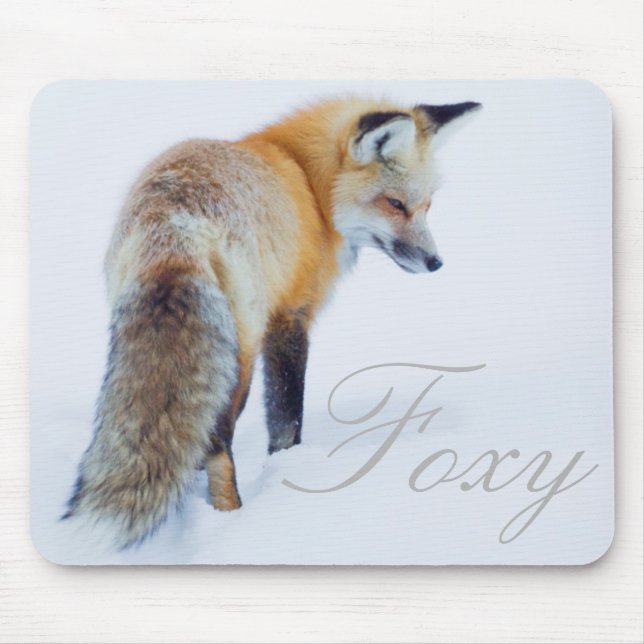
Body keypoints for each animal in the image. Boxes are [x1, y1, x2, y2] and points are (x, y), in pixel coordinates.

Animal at [63, 96, 481, 547]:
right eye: (395, 204)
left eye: (427, 205)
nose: (436, 262)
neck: (308, 183)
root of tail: (173, 225)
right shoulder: (290, 316)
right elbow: (285, 417)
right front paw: (288, 468)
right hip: (239, 354)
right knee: (217, 439)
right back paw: (229, 514)